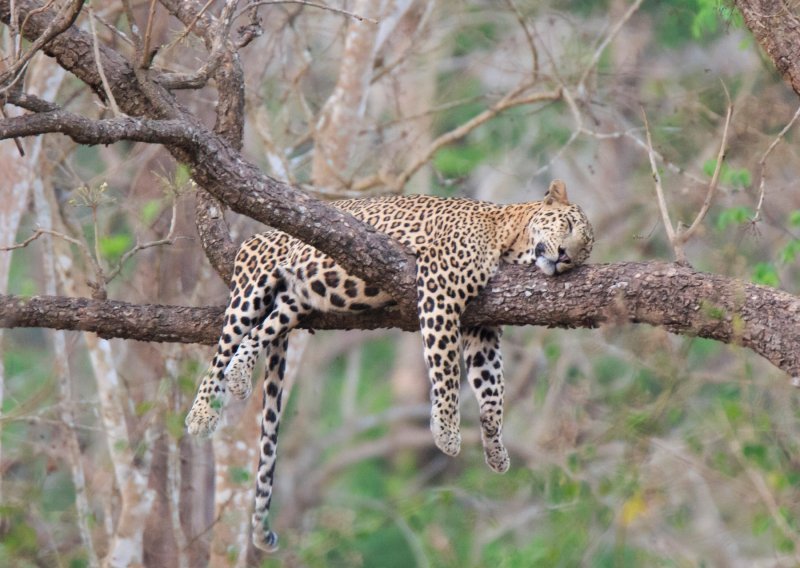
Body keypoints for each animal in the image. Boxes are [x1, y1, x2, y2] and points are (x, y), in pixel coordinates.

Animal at [184, 178, 592, 552]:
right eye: (569, 226)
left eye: (584, 253)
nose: (565, 258)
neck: (508, 236)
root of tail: (259, 237)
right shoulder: (441, 289)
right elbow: (445, 366)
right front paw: (446, 430)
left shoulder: (483, 329)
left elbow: (492, 391)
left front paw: (495, 449)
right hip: (253, 280)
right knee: (223, 346)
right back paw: (202, 413)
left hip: (295, 300)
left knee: (259, 332)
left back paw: (240, 374)